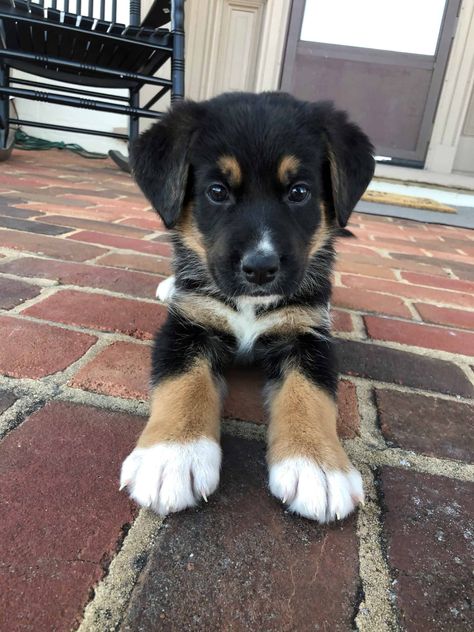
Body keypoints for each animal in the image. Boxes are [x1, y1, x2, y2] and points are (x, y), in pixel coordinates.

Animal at [120, 91, 376, 520]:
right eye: (217, 191)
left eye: (299, 192)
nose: (260, 268)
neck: (249, 306)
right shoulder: (187, 325)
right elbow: (183, 383)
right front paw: (173, 457)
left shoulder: (309, 334)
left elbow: (311, 394)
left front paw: (317, 466)